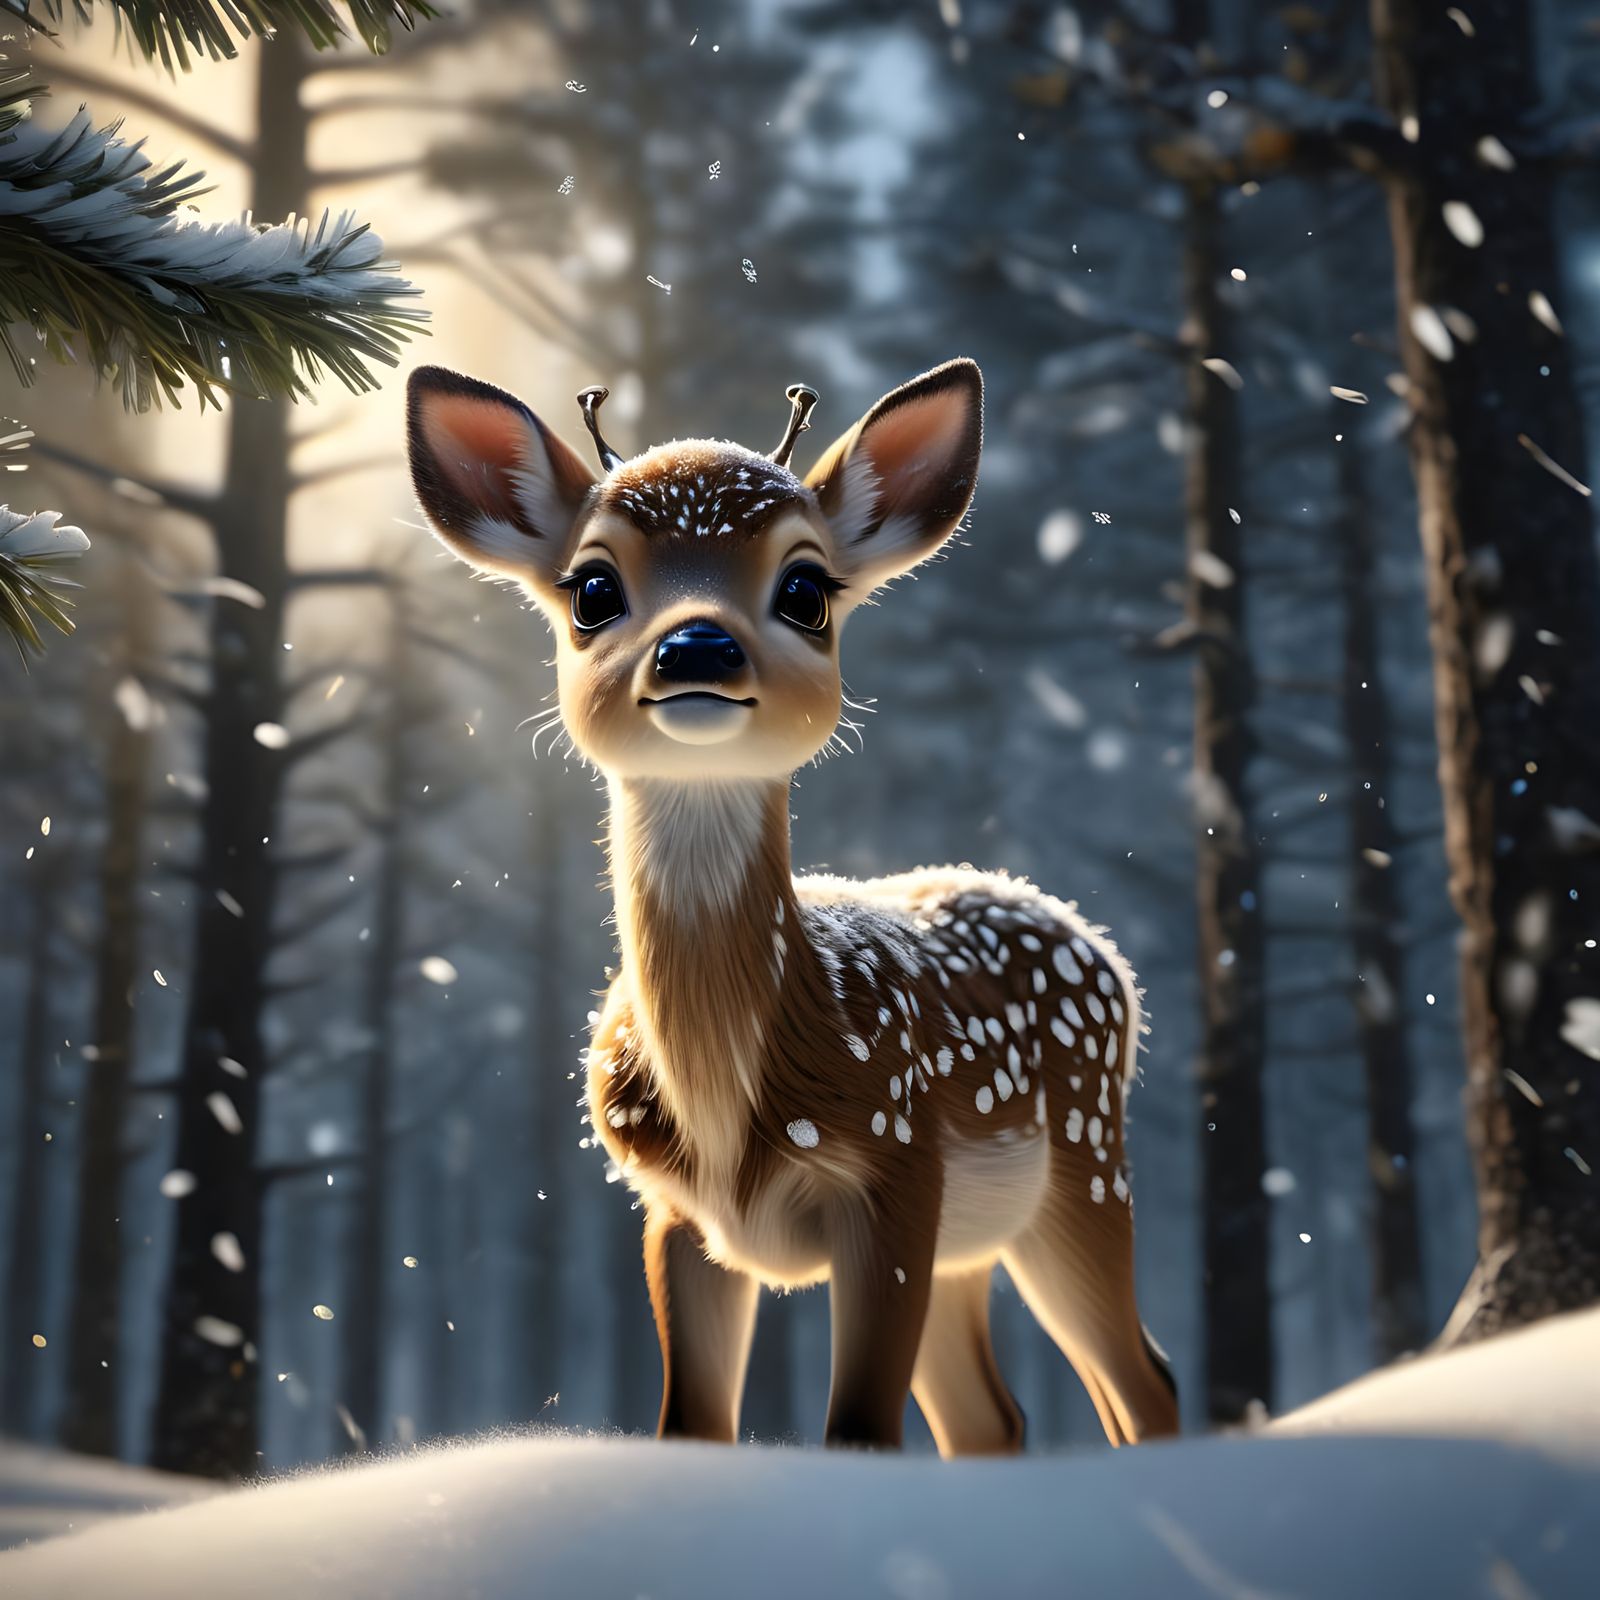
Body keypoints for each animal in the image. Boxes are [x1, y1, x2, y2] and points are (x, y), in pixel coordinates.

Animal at [405, 357, 1180, 1455]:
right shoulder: (674, 1217)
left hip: (1079, 1160)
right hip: (976, 1237)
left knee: (1141, 1378)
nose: (695, 647)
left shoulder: (894, 1170)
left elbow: (858, 1429)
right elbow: (690, 1425)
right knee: (991, 1417)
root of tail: (1098, 945)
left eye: (806, 589)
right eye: (592, 588)